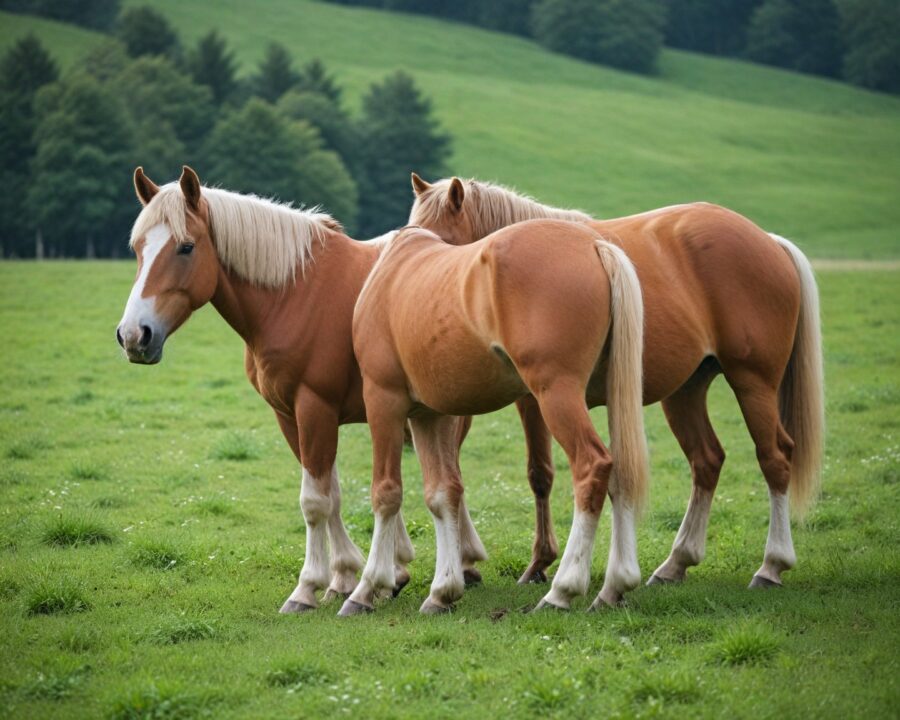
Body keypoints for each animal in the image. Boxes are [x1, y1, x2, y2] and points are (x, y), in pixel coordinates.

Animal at [116, 165, 495, 613]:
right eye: (137, 247)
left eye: (186, 247)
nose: (134, 335)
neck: (294, 294)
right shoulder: (289, 414)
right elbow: (330, 492)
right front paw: (346, 574)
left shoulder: (314, 407)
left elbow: (314, 501)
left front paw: (309, 587)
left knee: (449, 483)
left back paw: (459, 566)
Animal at [343, 219, 650, 615]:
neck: (389, 274)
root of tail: (594, 245)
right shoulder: (429, 415)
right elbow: (442, 493)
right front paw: (443, 591)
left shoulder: (384, 401)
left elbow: (386, 493)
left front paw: (366, 589)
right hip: (613, 395)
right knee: (622, 473)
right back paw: (615, 585)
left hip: (557, 396)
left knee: (592, 468)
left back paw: (562, 589)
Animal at [408, 174, 824, 590]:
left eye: (440, 242)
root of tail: (769, 240)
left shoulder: (534, 399)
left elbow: (539, 474)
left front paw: (537, 562)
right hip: (685, 393)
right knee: (707, 461)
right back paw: (676, 562)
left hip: (753, 383)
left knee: (775, 458)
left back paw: (771, 565)